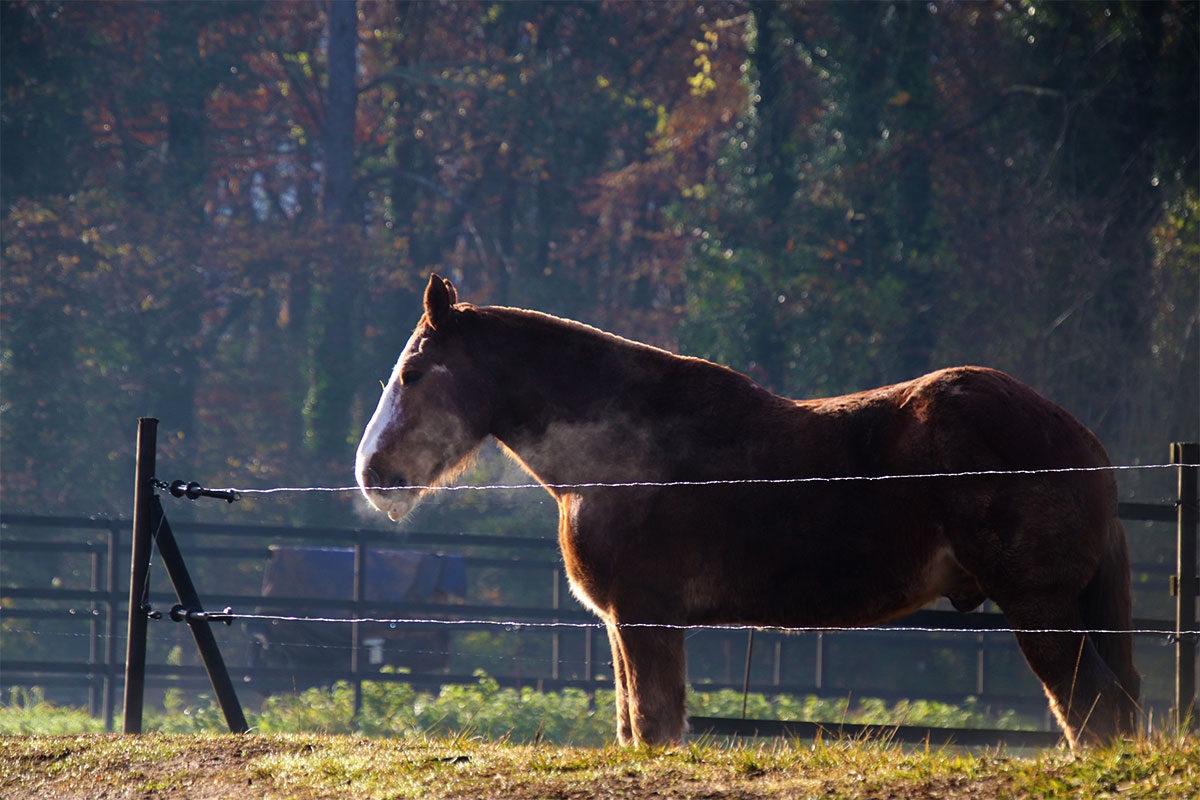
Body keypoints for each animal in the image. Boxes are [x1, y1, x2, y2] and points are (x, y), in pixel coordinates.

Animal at [352, 275, 1132, 753]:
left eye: (413, 373)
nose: (373, 476)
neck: (622, 453)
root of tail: (1078, 439)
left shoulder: (646, 620)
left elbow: (656, 728)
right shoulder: (625, 626)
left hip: (1040, 607)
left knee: (1090, 711)